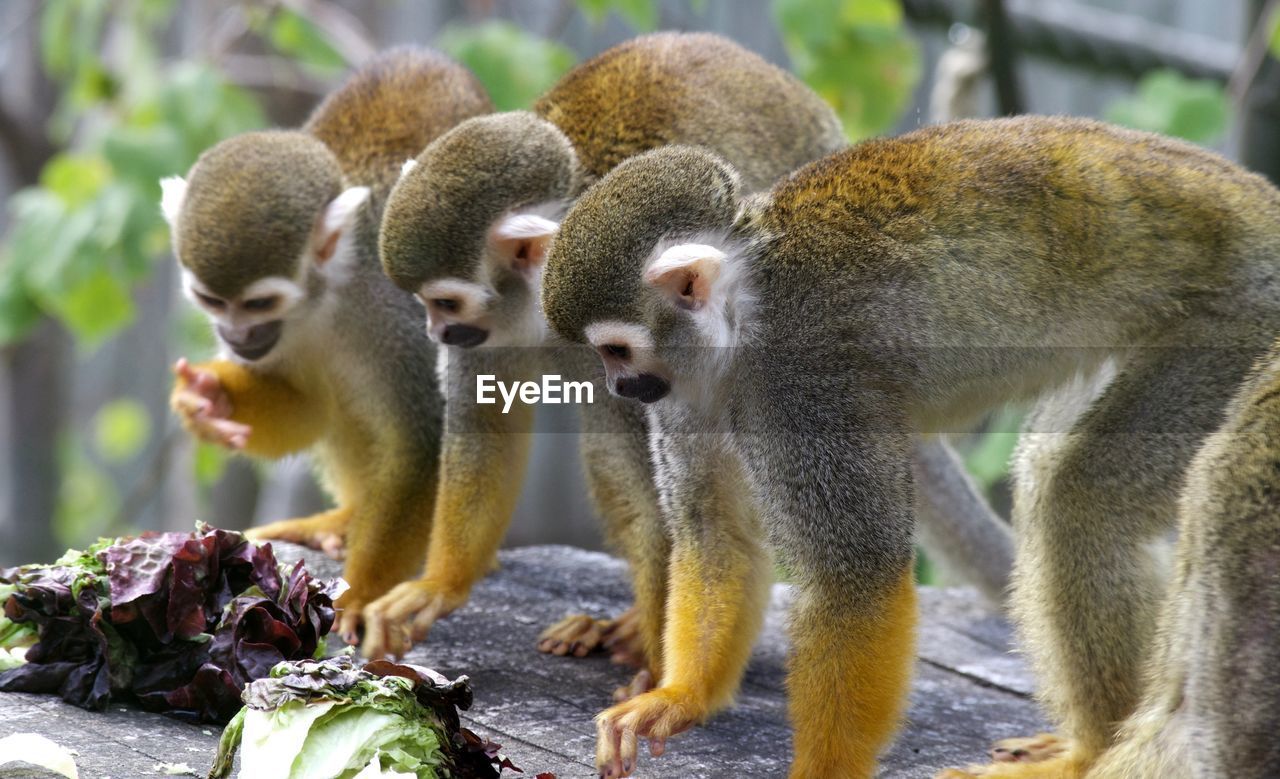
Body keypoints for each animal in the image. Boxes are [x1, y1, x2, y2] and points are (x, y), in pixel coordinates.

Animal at [163, 51, 488, 642]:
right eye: (212, 300)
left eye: (260, 303)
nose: (236, 338)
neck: (325, 296)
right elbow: (305, 406)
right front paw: (208, 402)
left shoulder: (401, 313)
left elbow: (421, 440)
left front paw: (360, 595)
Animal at [537, 117, 1280, 777]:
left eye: (615, 349)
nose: (623, 386)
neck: (744, 313)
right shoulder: (690, 388)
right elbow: (716, 530)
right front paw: (677, 697)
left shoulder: (805, 380)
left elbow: (857, 573)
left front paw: (824, 772)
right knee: (1056, 477)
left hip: (1239, 324)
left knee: (1086, 496)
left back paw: (1090, 754)